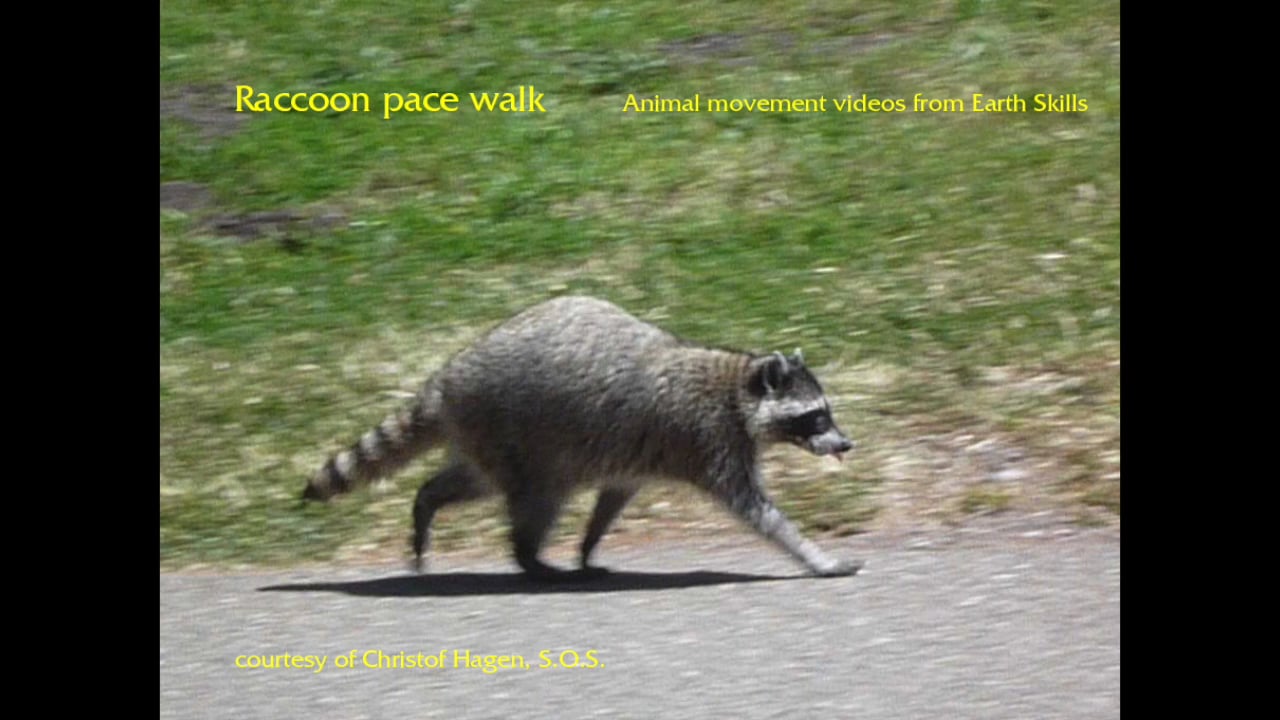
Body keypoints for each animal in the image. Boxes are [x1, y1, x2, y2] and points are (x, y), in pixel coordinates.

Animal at [304, 296, 860, 579]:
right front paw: (813, 555)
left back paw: (427, 504)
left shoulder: (644, 455)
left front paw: (590, 544)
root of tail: (446, 380)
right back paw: (528, 558)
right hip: (514, 428)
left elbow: (615, 496)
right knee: (536, 497)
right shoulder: (710, 440)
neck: (737, 387)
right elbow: (757, 511)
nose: (845, 445)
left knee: (472, 482)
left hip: (489, 438)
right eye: (815, 418)